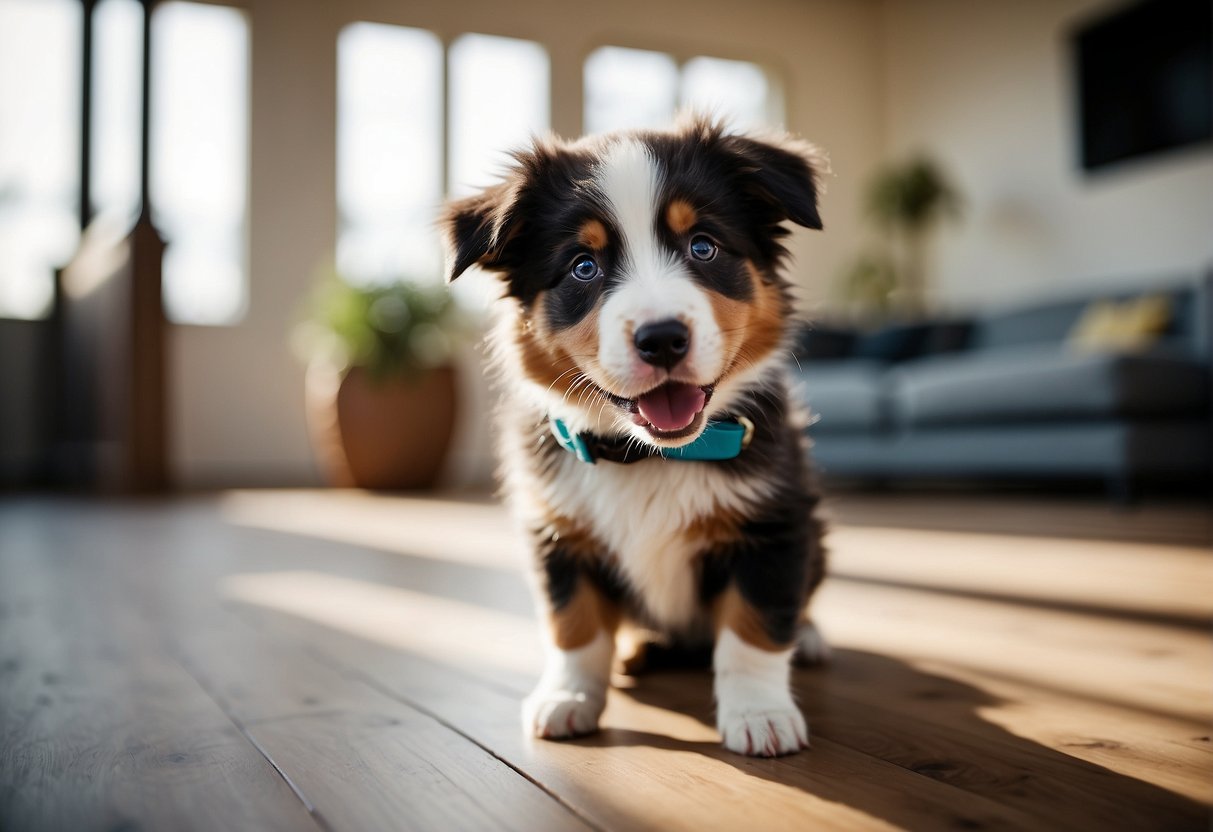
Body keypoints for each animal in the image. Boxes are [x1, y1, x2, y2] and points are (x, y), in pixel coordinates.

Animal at [441, 114, 829, 761]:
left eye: (703, 246)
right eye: (583, 266)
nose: (663, 338)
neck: (647, 457)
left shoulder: (774, 525)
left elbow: (753, 626)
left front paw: (760, 714)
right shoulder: (557, 532)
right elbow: (573, 625)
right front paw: (568, 697)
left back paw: (813, 637)